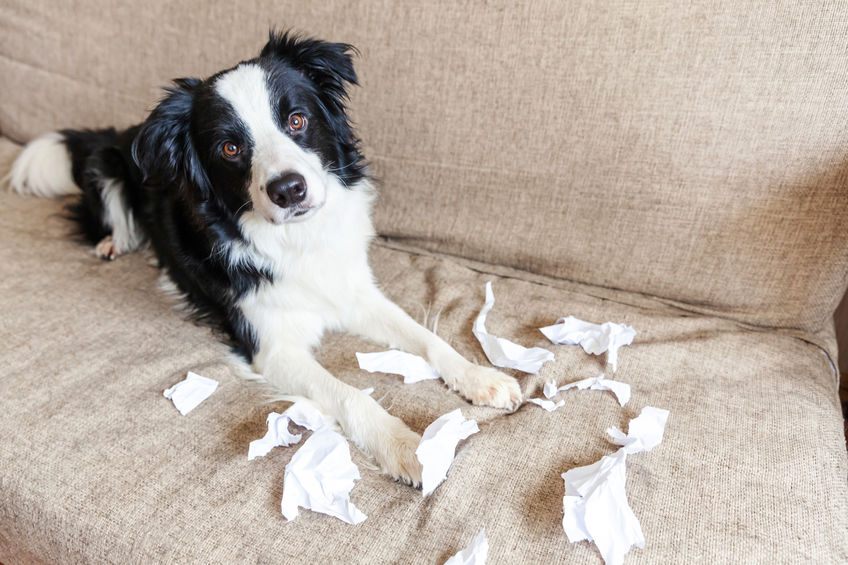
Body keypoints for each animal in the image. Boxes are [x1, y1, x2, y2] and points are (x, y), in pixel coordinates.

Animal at [8, 30, 524, 482]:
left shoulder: (353, 292)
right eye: (230, 147)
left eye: (296, 120)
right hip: (110, 166)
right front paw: (406, 447)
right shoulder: (271, 346)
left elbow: (427, 339)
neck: (297, 240)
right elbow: (349, 393)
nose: (288, 189)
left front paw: (482, 377)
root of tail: (126, 131)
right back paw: (115, 243)